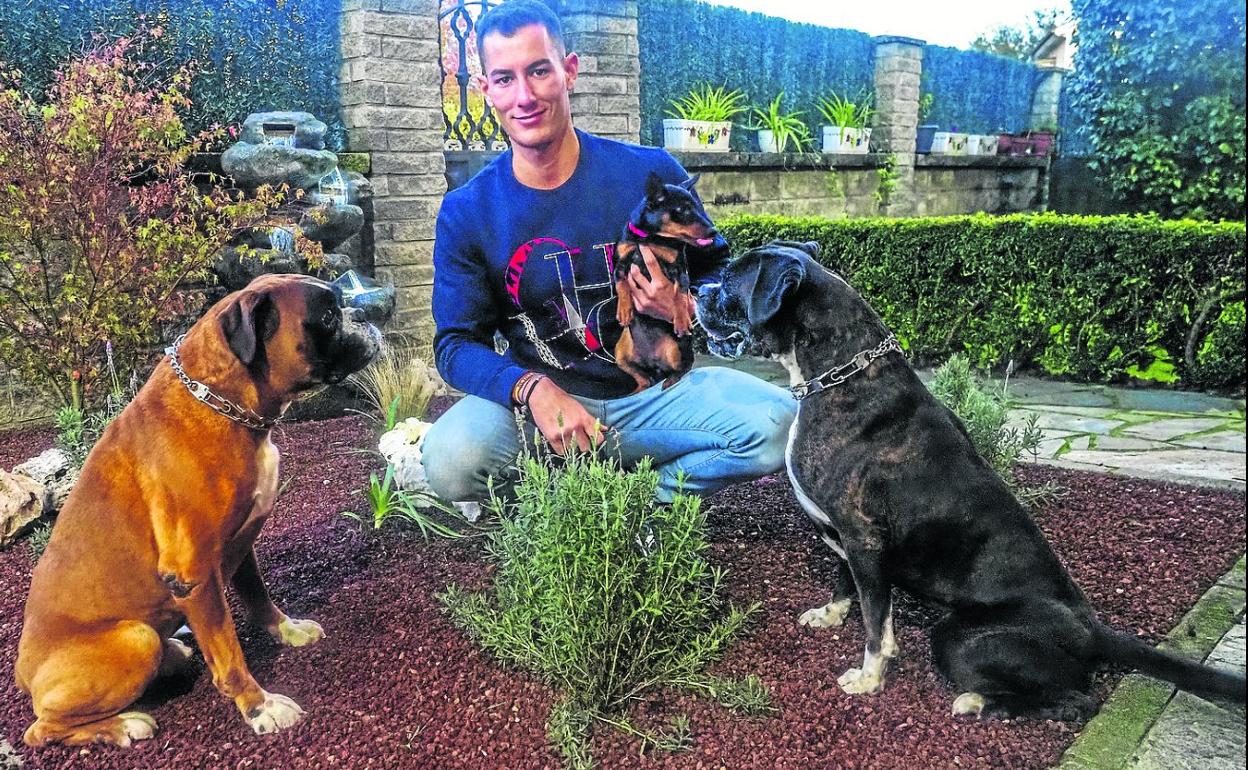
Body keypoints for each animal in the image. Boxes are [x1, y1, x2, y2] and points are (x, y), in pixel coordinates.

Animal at [17, 272, 379, 743]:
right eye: (329, 316)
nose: (364, 314)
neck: (225, 404)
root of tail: (22, 675)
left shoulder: (242, 545)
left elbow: (258, 596)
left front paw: (288, 630)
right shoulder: (193, 574)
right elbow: (228, 650)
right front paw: (259, 707)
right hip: (135, 638)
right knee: (42, 730)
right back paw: (122, 725)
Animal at [611, 172, 713, 389]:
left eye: (697, 208)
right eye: (683, 210)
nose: (714, 232)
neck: (650, 239)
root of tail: (653, 363)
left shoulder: (680, 271)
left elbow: (679, 295)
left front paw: (681, 320)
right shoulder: (620, 265)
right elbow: (621, 284)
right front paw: (624, 310)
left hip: (676, 349)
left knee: (683, 367)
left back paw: (670, 381)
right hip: (620, 351)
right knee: (644, 378)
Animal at [698, 239, 1243, 718]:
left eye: (730, 281)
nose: (700, 289)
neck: (840, 374)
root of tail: (1093, 630)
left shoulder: (862, 538)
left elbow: (877, 622)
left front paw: (870, 678)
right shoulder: (849, 538)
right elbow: (844, 582)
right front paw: (832, 615)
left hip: (959, 636)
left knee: (1075, 701)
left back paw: (978, 703)